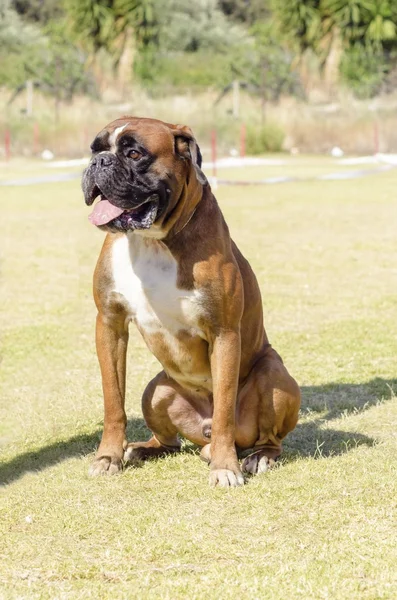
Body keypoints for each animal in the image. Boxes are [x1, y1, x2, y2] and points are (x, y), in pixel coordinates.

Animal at [83, 117, 300, 488]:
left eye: (135, 153)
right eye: (95, 150)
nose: (99, 163)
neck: (153, 240)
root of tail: (203, 434)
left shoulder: (223, 333)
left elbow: (225, 408)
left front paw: (225, 467)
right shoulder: (109, 324)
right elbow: (113, 401)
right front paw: (108, 457)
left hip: (275, 375)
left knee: (268, 438)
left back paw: (256, 456)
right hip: (155, 391)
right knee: (169, 441)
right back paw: (143, 449)